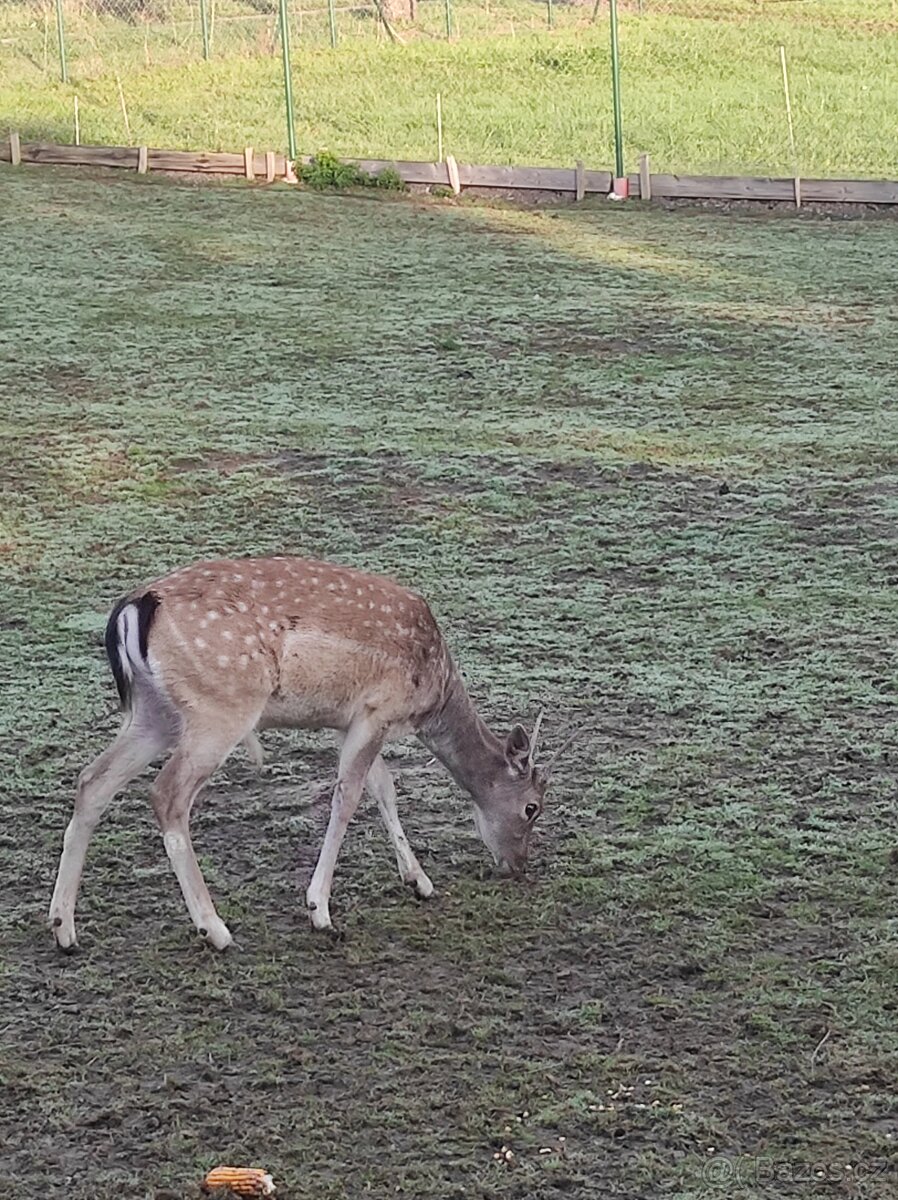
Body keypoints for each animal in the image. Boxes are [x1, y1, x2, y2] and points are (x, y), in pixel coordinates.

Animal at [52, 556, 549, 950]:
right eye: (532, 807)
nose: (518, 866)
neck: (432, 690)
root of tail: (134, 608)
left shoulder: (351, 720)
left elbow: (384, 788)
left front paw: (420, 882)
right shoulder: (377, 710)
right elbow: (348, 797)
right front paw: (320, 911)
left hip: (153, 712)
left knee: (92, 780)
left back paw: (63, 928)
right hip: (220, 707)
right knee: (166, 794)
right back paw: (216, 930)